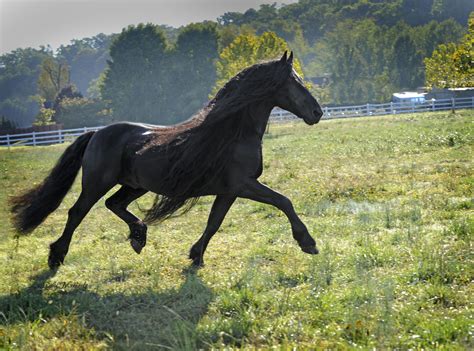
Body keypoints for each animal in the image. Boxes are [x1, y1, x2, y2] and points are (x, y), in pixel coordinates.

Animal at [11, 51, 324, 270]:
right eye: (294, 82)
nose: (317, 112)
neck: (232, 133)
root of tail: (97, 133)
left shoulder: (229, 191)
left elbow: (214, 222)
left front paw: (196, 256)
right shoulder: (243, 184)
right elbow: (284, 201)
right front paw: (308, 243)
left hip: (136, 185)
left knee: (114, 204)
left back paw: (139, 237)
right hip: (96, 183)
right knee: (77, 212)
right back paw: (57, 256)